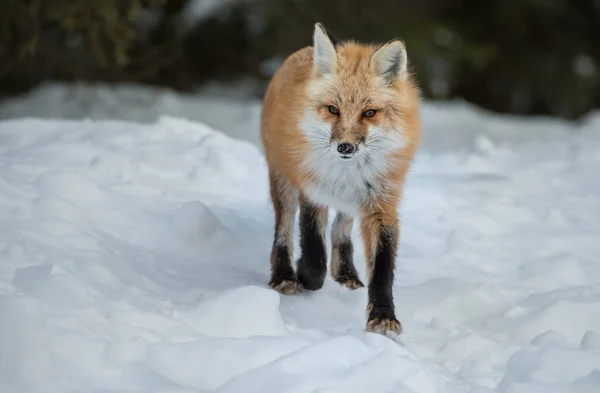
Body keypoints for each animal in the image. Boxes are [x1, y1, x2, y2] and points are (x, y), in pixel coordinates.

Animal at [258, 22, 422, 334]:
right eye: (333, 109)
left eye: (369, 113)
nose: (345, 147)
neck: (348, 173)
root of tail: (303, 52)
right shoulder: (312, 189)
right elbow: (313, 247)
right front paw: (306, 275)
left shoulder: (382, 203)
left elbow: (382, 266)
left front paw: (383, 315)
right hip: (283, 180)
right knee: (282, 231)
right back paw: (285, 275)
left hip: (353, 202)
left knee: (341, 230)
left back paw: (345, 273)